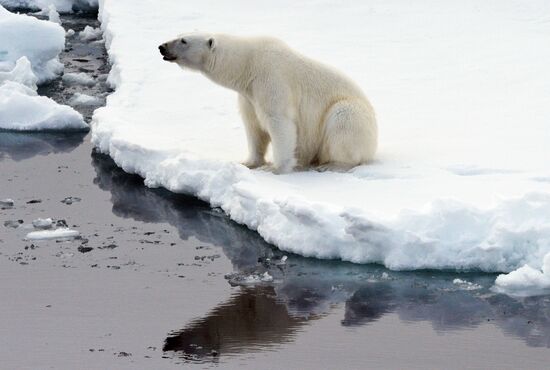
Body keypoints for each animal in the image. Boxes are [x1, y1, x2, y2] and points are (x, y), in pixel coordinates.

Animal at [157, 34, 378, 173]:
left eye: (183, 40)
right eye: (179, 34)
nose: (162, 47)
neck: (248, 64)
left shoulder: (271, 79)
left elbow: (280, 122)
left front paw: (275, 168)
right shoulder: (248, 95)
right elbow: (253, 126)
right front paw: (248, 162)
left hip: (350, 113)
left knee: (343, 121)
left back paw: (332, 165)